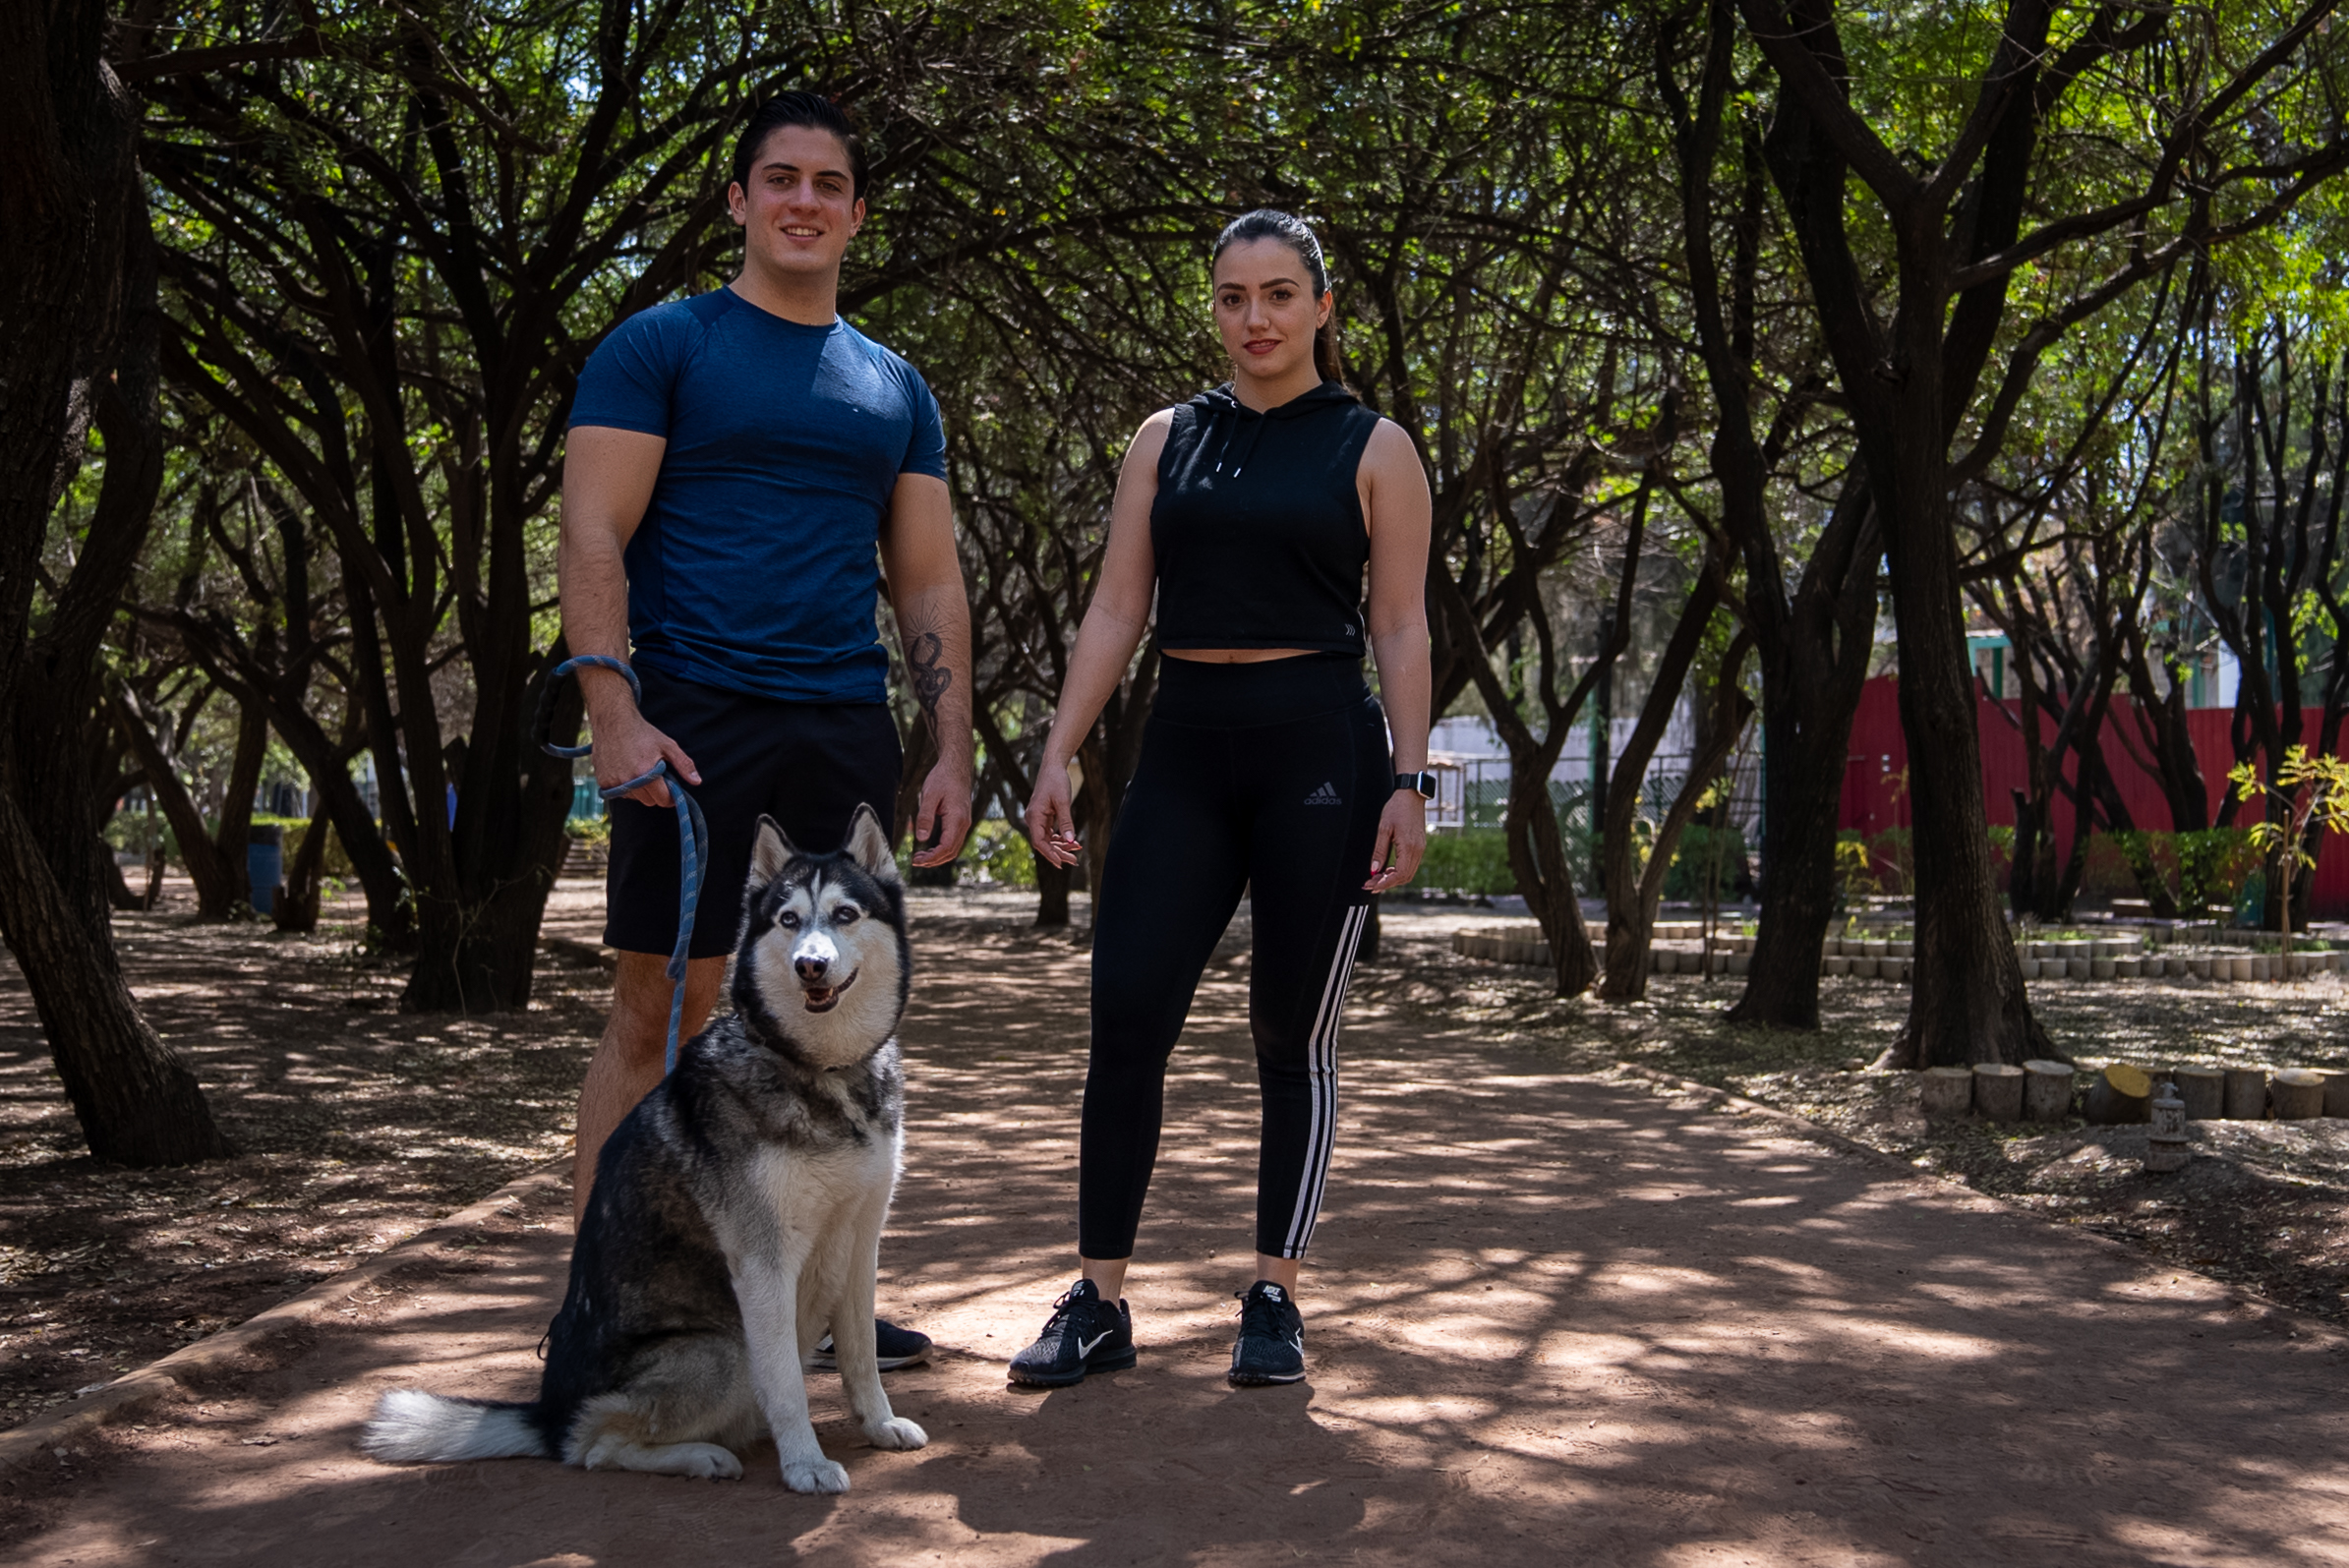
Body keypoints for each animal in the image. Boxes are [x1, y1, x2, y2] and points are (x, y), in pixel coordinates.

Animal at [361, 807, 920, 1492]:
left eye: (845, 914)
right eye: (788, 921)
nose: (809, 966)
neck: (822, 1068)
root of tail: (548, 1413)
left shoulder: (862, 1238)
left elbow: (860, 1353)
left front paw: (878, 1424)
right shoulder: (763, 1262)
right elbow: (787, 1385)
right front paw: (805, 1463)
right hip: (723, 1347)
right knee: (593, 1444)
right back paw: (699, 1457)